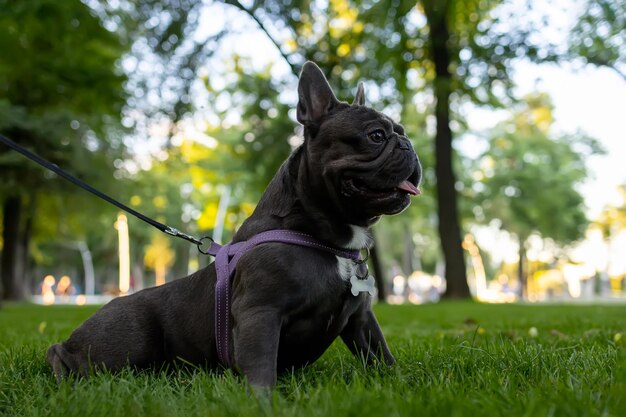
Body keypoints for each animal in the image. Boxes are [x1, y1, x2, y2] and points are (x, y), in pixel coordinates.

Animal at [46, 61, 420, 386]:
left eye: (401, 132)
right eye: (375, 136)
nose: (408, 144)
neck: (328, 239)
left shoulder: (361, 320)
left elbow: (381, 355)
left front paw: (400, 382)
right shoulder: (261, 313)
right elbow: (262, 366)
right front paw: (263, 401)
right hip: (128, 341)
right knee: (71, 358)